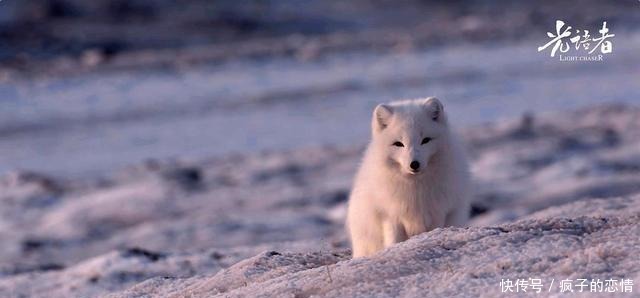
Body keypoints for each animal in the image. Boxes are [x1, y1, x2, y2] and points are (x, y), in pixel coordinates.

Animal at [348, 96, 468, 258]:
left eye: (425, 140)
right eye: (398, 144)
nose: (414, 164)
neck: (415, 188)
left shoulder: (438, 213)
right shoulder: (390, 215)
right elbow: (394, 241)